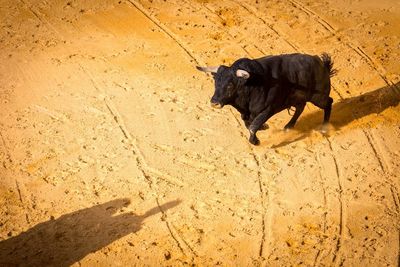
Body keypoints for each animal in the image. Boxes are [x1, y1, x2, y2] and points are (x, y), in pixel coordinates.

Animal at [197, 53, 334, 146]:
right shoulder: (247, 112)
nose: (214, 102)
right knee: (300, 108)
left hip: (318, 97)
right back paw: (288, 127)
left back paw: (324, 128)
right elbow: (248, 123)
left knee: (329, 102)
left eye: (230, 85)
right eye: (215, 82)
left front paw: (255, 141)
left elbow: (253, 126)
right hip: (298, 98)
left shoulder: (268, 109)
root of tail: (322, 64)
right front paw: (263, 127)